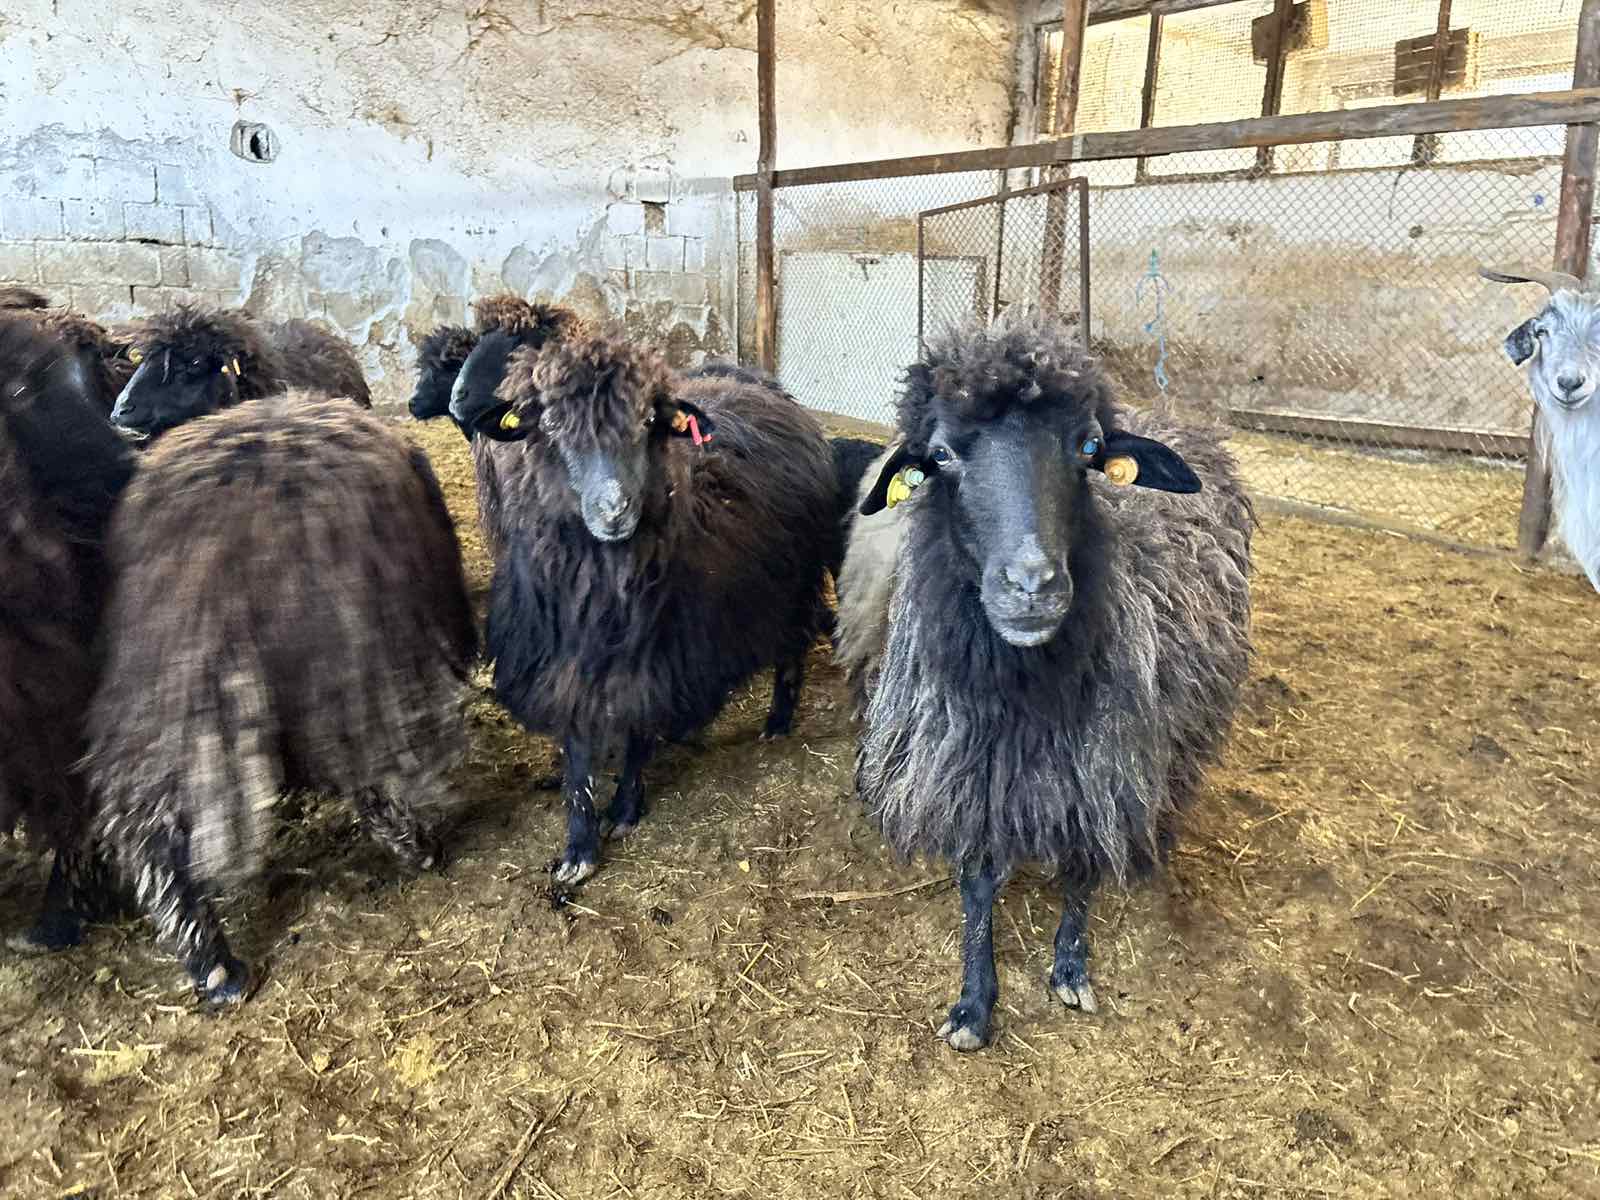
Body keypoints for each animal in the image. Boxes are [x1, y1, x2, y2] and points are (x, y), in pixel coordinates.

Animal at [85, 393, 477, 1003]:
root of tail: (223, 539)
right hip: (357, 661)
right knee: (374, 772)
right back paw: (420, 848)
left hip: (160, 681)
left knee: (145, 820)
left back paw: (211, 964)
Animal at [448, 329, 837, 884]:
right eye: (551, 425)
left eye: (649, 422)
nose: (615, 511)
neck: (601, 589)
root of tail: (763, 386)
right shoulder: (562, 664)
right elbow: (577, 754)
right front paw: (579, 846)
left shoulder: (652, 662)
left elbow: (636, 730)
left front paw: (625, 809)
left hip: (793, 583)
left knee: (791, 648)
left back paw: (778, 721)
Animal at [835, 313, 1253, 1051]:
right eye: (940, 455)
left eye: (1088, 447)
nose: (1032, 584)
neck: (1025, 695)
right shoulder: (968, 770)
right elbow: (977, 887)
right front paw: (975, 1004)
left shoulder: (1100, 767)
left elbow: (1083, 867)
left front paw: (1069, 968)